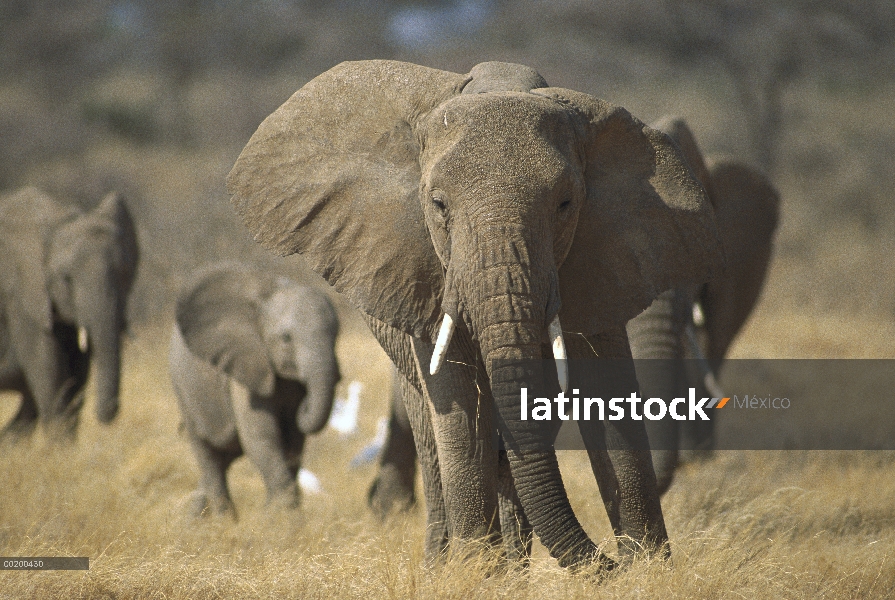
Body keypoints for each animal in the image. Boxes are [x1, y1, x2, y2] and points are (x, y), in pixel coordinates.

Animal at [168, 262, 340, 516]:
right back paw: (223, 521)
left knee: (225, 456)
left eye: (337, 335)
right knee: (208, 455)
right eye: (286, 338)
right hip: (182, 388)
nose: (306, 404)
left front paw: (273, 515)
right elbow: (261, 437)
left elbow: (293, 444)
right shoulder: (246, 366)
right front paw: (283, 518)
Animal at [228, 61, 724, 572]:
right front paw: (474, 574)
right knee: (433, 438)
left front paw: (648, 568)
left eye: (565, 204)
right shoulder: (423, 270)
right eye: (438, 205)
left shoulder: (604, 254)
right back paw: (449, 564)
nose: (609, 561)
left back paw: (511, 568)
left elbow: (607, 393)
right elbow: (459, 403)